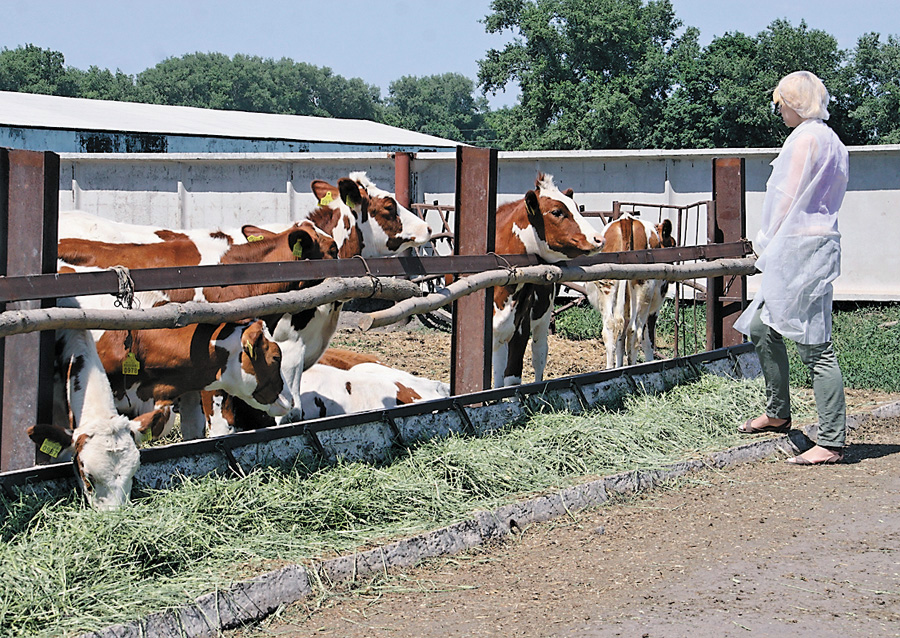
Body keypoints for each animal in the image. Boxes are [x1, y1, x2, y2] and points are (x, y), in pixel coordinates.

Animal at [492, 172, 604, 388]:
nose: (599, 239)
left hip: (543, 318)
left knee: (539, 356)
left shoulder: (521, 326)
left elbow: (512, 378)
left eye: (577, 208)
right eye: (556, 212)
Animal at [584, 216, 676, 370]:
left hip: (607, 285)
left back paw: (610, 368)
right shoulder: (654, 309)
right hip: (644, 290)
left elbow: (620, 340)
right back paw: (632, 366)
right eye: (673, 244)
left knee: (610, 328)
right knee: (634, 331)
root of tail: (626, 219)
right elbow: (648, 340)